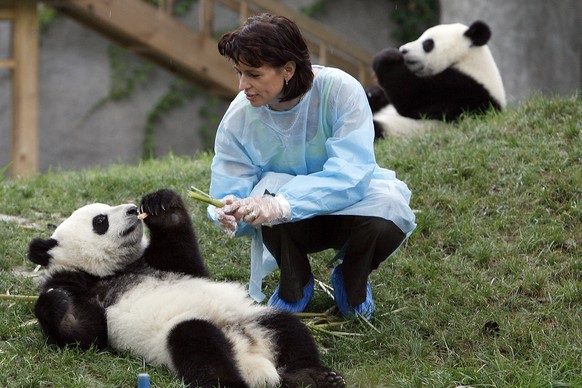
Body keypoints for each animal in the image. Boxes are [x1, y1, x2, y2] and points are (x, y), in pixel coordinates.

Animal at [28, 189, 346, 386]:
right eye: (101, 220)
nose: (132, 210)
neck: (114, 270)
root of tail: (251, 354)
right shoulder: (82, 285)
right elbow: (89, 333)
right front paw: (55, 301)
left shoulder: (163, 263)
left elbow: (185, 254)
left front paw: (160, 204)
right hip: (177, 336)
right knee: (198, 345)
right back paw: (232, 381)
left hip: (254, 318)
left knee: (289, 329)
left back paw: (312, 376)